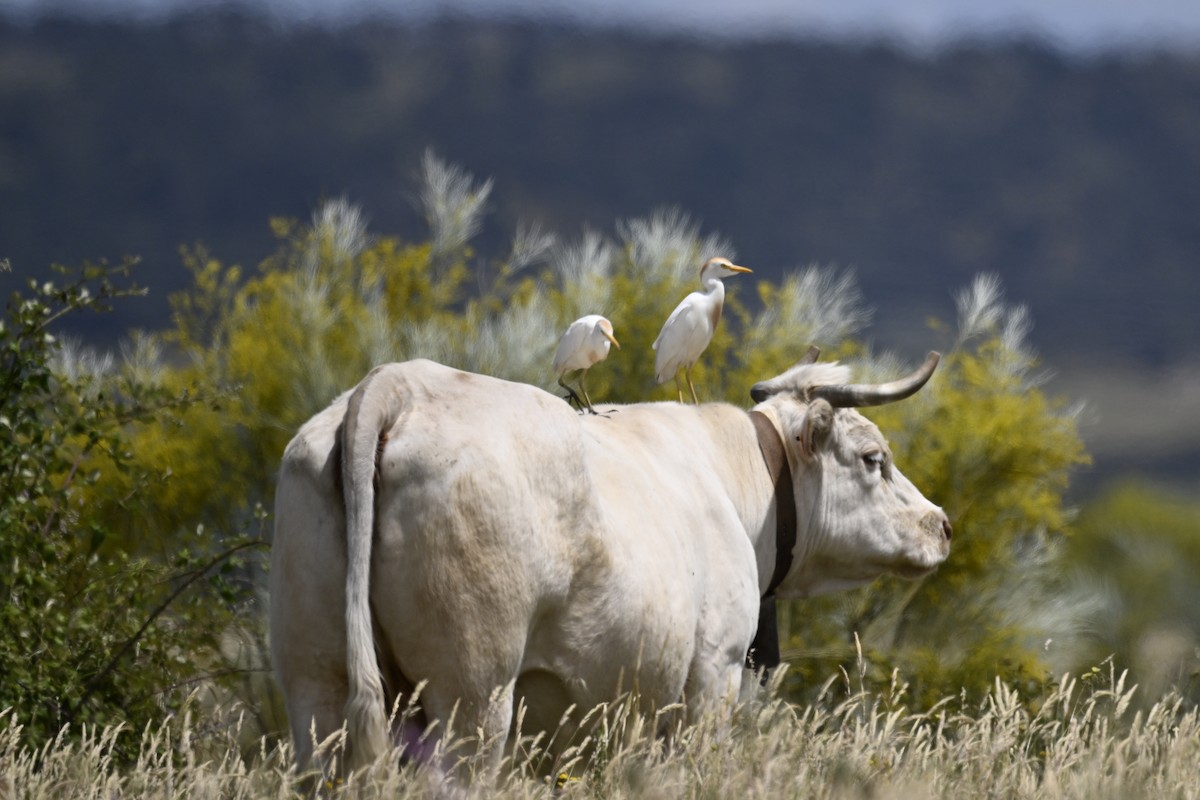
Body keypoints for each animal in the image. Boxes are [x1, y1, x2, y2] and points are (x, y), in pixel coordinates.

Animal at [267, 352, 950, 772]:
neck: (735, 484)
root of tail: (399, 383)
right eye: (873, 457)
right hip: (472, 692)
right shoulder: (714, 672)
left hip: (314, 679)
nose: (940, 525)